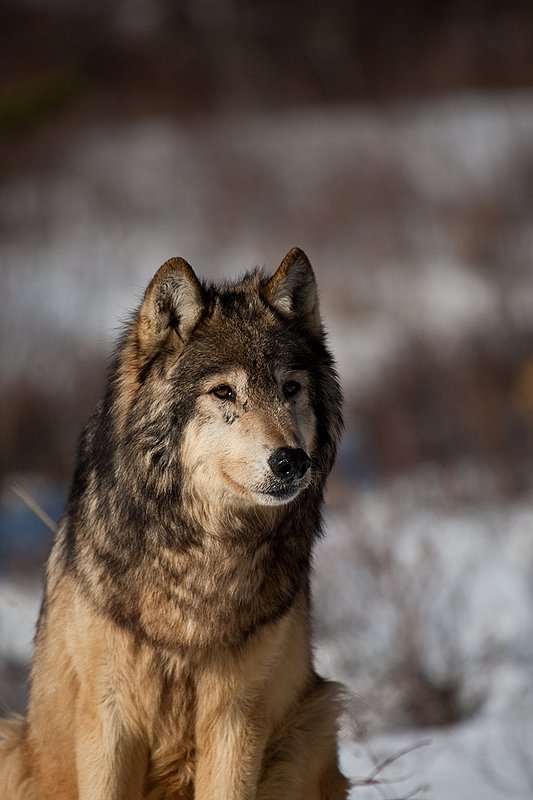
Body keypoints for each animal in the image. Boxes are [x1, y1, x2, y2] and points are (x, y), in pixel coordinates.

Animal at [0, 247, 348, 799]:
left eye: (290, 388)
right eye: (224, 392)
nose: (292, 461)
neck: (202, 560)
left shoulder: (237, 718)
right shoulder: (110, 717)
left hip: (314, 720)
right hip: (14, 747)